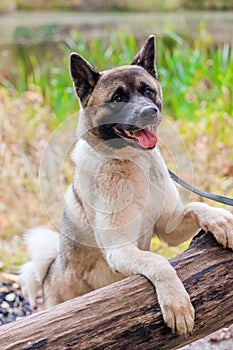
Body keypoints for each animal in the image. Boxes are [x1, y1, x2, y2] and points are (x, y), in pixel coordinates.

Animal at [20, 34, 233, 336]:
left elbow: (197, 205)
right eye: (117, 98)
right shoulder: (120, 250)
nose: (149, 112)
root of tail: (49, 272)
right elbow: (160, 262)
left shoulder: (169, 229)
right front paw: (177, 305)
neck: (132, 163)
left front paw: (222, 220)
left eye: (148, 91)